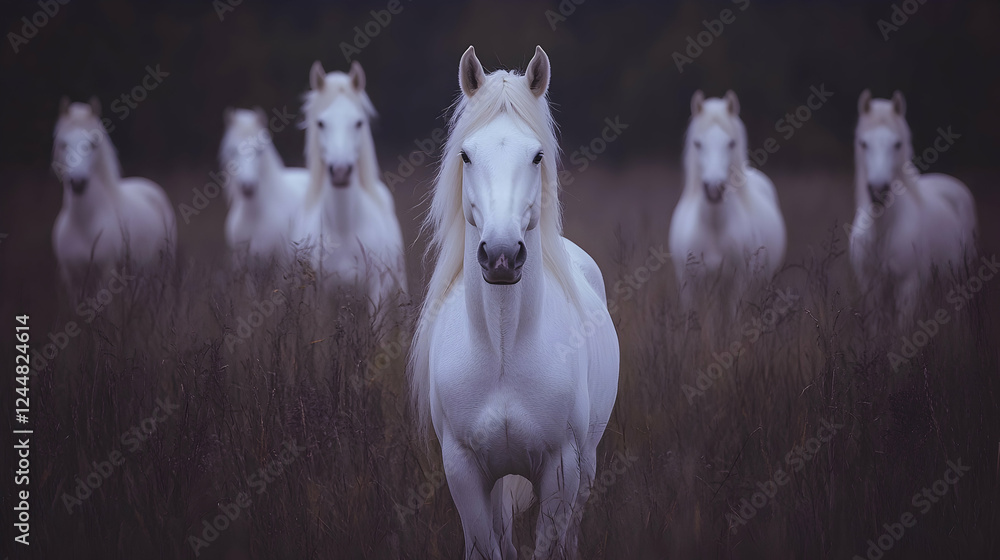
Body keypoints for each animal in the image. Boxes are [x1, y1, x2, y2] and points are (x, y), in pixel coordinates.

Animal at [51, 97, 176, 296]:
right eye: (63, 143)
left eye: (93, 143)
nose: (78, 182)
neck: (84, 223)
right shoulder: (72, 279)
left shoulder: (106, 273)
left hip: (162, 270)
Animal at [298, 60, 408, 318]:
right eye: (321, 123)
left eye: (358, 122)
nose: (340, 171)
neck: (344, 231)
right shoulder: (319, 296)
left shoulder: (377, 291)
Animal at [407, 46, 620, 559]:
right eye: (466, 155)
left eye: (537, 155)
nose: (501, 255)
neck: (503, 348)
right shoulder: (463, 470)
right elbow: (486, 546)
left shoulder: (562, 469)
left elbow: (548, 546)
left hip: (586, 467)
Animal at [668, 90, 786, 325]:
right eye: (697, 143)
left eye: (731, 143)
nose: (714, 188)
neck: (714, 226)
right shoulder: (690, 285)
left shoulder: (739, 284)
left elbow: (733, 321)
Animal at [849, 90, 977, 328]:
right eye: (863, 143)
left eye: (897, 144)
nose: (878, 190)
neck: (882, 230)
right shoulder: (869, 287)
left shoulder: (909, 286)